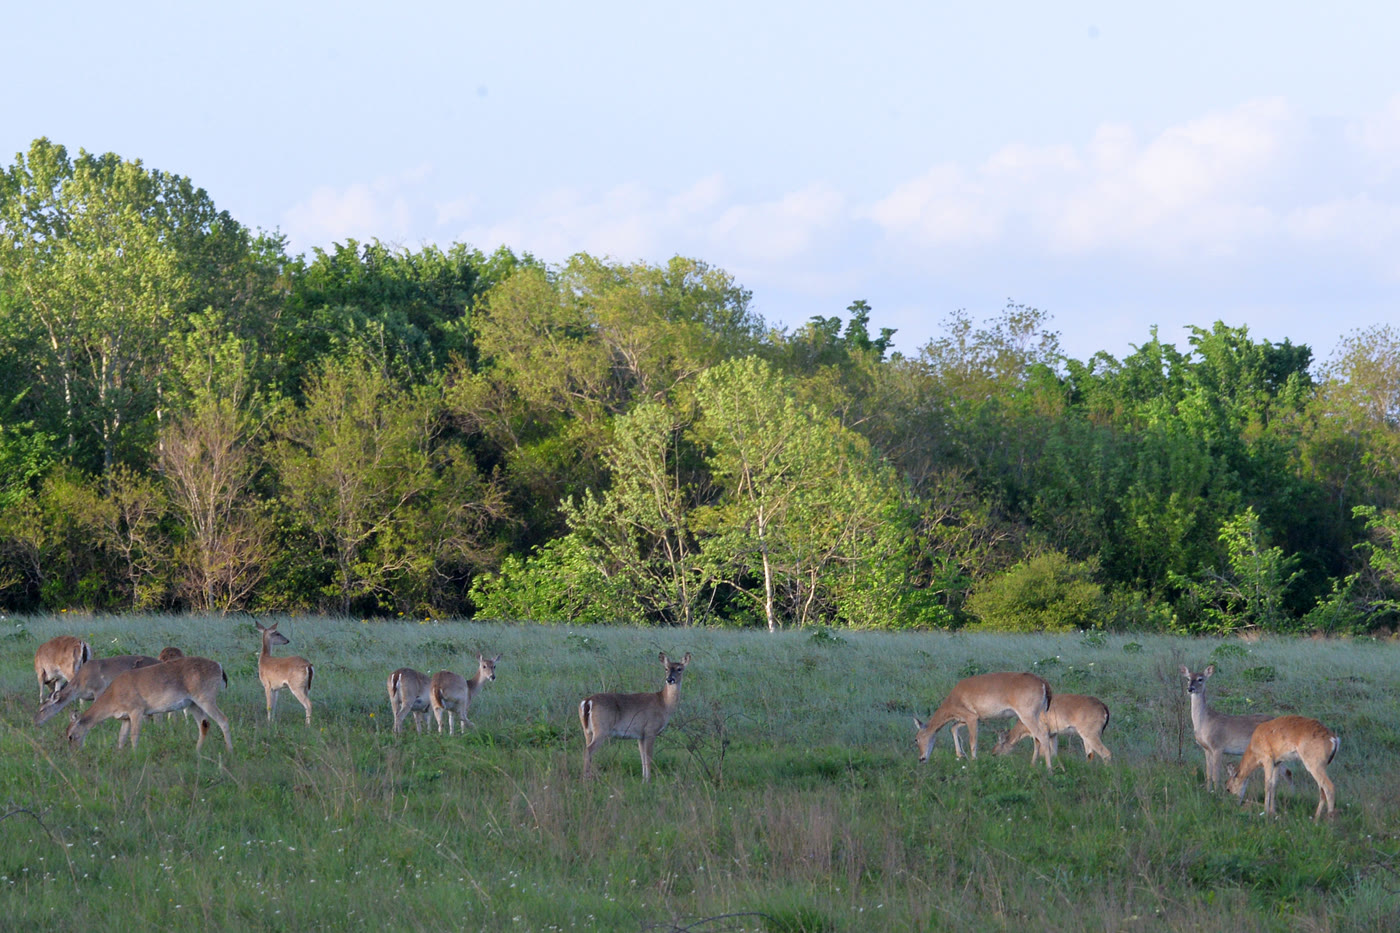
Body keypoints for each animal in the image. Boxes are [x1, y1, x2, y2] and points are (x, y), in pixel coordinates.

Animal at [66, 656, 233, 754]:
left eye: (70, 736)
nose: (75, 753)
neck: (113, 695)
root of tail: (220, 667)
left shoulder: (137, 711)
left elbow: (134, 737)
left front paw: (135, 756)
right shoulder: (125, 718)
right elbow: (121, 738)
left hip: (205, 698)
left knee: (223, 720)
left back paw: (229, 752)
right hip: (193, 704)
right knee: (204, 725)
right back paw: (196, 753)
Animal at [580, 651, 691, 782]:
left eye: (679, 669)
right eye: (666, 668)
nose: (670, 679)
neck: (664, 703)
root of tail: (588, 701)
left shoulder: (640, 735)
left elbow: (642, 757)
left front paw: (643, 780)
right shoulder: (650, 730)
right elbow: (648, 757)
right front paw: (648, 781)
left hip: (587, 730)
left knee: (586, 749)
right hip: (602, 729)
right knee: (588, 750)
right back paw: (585, 780)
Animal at [913, 672, 1055, 771]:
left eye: (917, 739)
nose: (921, 759)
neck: (952, 701)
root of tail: (1043, 683)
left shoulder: (971, 717)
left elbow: (972, 741)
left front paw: (973, 761)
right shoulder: (972, 718)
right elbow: (953, 727)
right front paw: (961, 755)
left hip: (1027, 715)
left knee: (1042, 736)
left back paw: (1049, 769)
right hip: (1038, 714)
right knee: (1038, 737)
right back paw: (1033, 765)